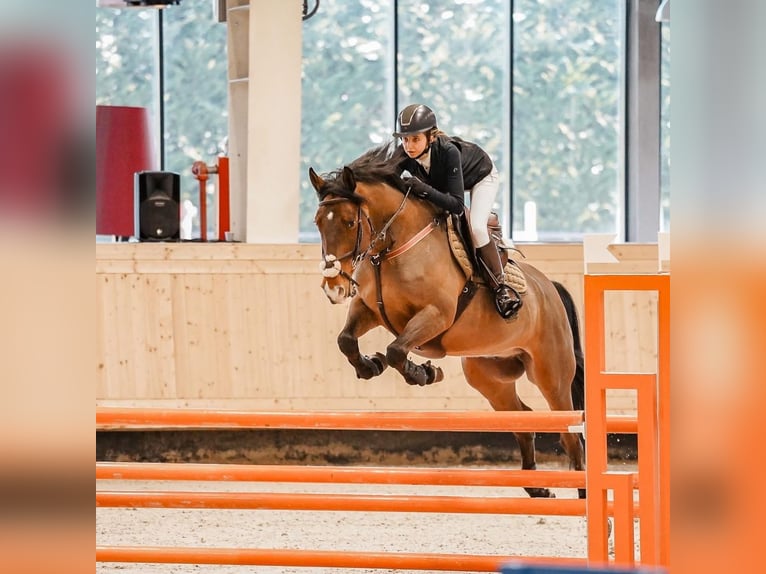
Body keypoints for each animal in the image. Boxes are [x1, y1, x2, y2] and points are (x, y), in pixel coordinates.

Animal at [308, 145, 585, 498]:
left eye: (348, 221)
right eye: (317, 223)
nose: (334, 288)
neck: (393, 247)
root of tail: (550, 288)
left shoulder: (436, 315)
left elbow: (397, 350)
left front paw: (423, 372)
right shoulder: (369, 308)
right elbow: (347, 340)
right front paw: (371, 366)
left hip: (551, 376)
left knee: (570, 435)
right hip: (488, 375)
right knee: (523, 420)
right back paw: (539, 490)